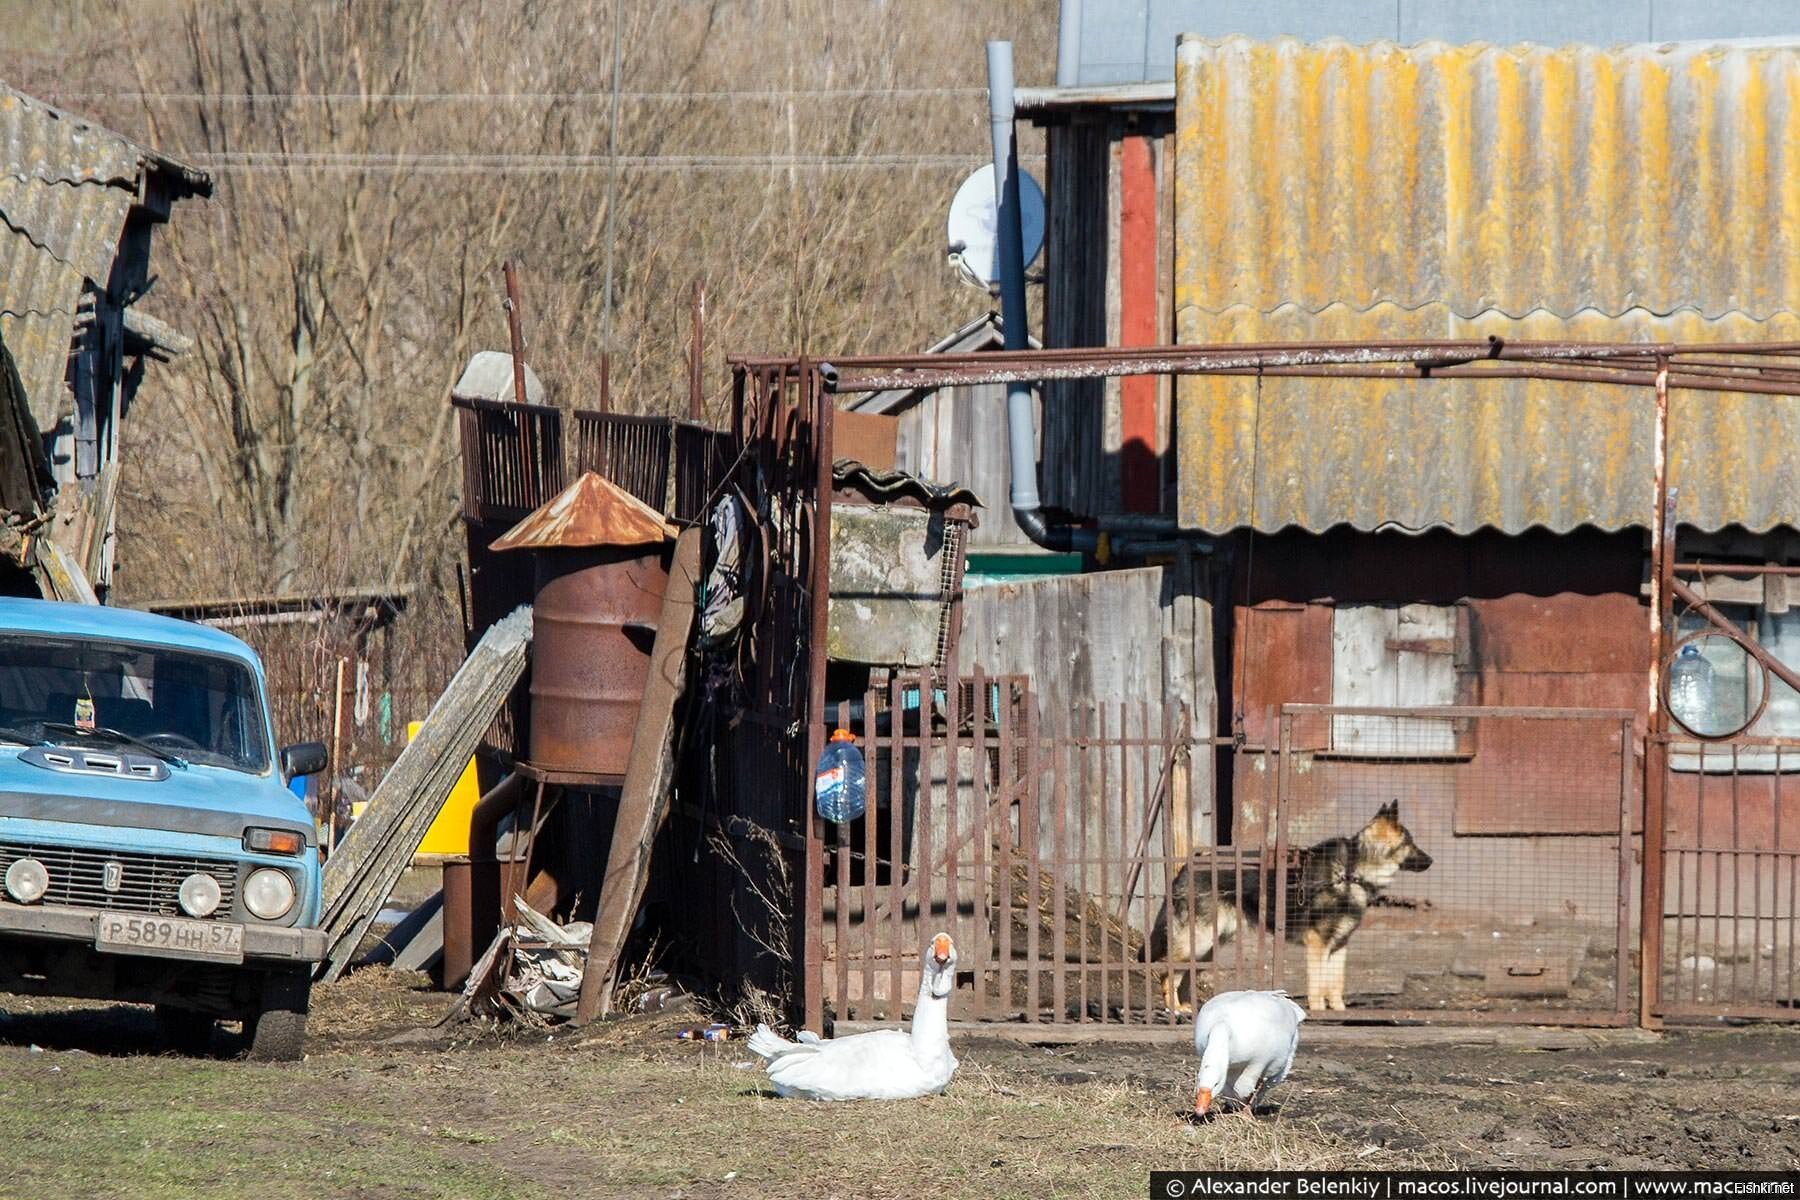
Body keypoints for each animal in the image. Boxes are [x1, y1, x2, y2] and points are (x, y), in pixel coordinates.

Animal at [1152, 805, 1432, 1014]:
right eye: (1410, 844)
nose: (1431, 861)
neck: (1351, 871)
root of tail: (1187, 866)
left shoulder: (1339, 945)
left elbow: (1335, 983)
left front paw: (1338, 1010)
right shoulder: (1318, 945)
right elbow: (1318, 983)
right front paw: (1318, 1010)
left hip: (1209, 945)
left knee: (1185, 974)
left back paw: (1186, 1007)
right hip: (1199, 941)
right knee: (1168, 972)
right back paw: (1174, 1008)